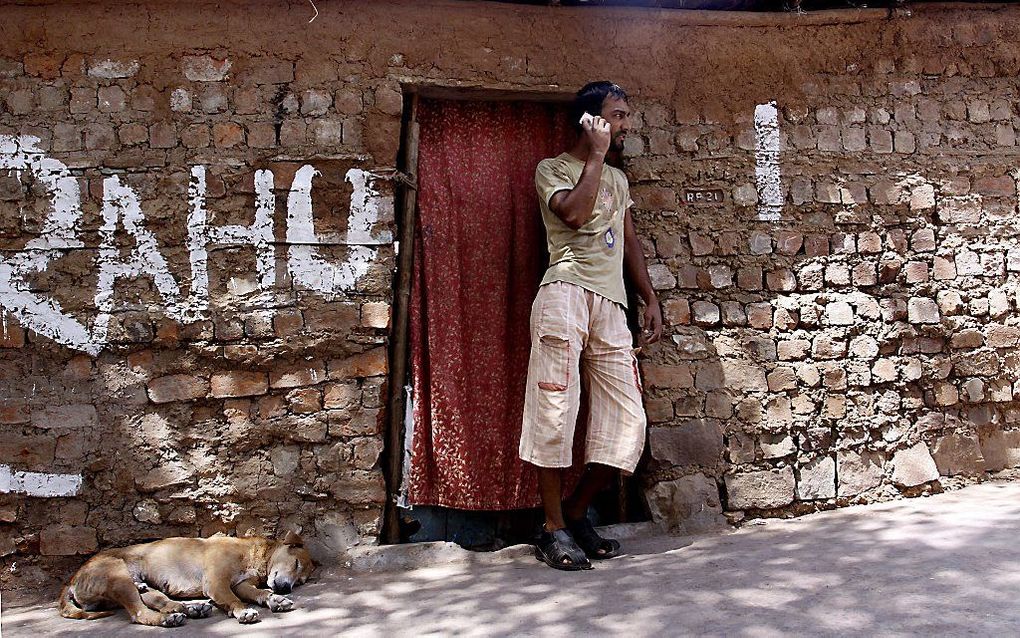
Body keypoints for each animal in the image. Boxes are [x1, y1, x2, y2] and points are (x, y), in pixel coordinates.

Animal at [58, 530, 314, 624]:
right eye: (296, 563)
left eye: (301, 580)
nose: (286, 588)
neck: (252, 555)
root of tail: (73, 579)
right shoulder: (217, 583)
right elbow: (234, 600)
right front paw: (243, 611)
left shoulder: (242, 584)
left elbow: (259, 592)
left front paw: (274, 599)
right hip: (118, 578)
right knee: (139, 614)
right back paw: (168, 619)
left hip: (140, 585)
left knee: (156, 600)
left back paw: (191, 609)